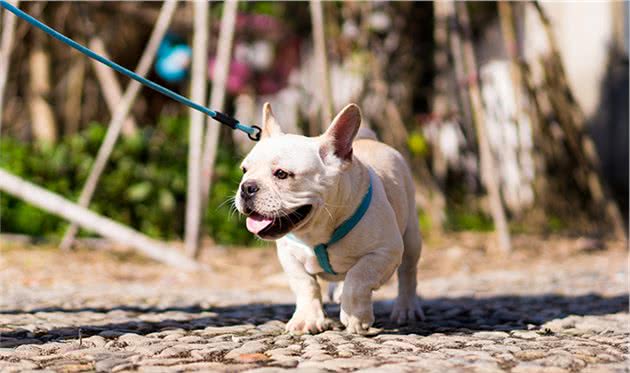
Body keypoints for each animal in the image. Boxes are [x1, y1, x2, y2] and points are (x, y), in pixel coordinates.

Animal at [236, 102, 424, 334]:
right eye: (244, 170)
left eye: (281, 174)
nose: (247, 187)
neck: (316, 232)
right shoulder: (289, 257)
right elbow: (305, 284)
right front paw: (307, 319)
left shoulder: (384, 251)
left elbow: (358, 277)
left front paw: (355, 317)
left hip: (411, 237)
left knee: (408, 272)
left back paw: (406, 309)